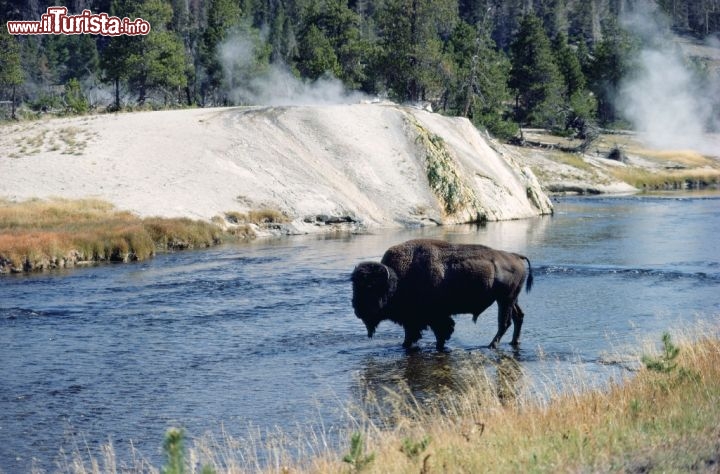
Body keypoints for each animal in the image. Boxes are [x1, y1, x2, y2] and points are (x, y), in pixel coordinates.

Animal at [352, 239, 532, 350]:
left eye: (370, 286)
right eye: (354, 285)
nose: (356, 309)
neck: (397, 279)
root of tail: (515, 256)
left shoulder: (433, 318)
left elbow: (440, 333)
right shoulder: (414, 321)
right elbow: (413, 337)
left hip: (505, 300)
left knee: (505, 322)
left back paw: (492, 345)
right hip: (510, 299)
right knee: (518, 317)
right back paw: (514, 341)